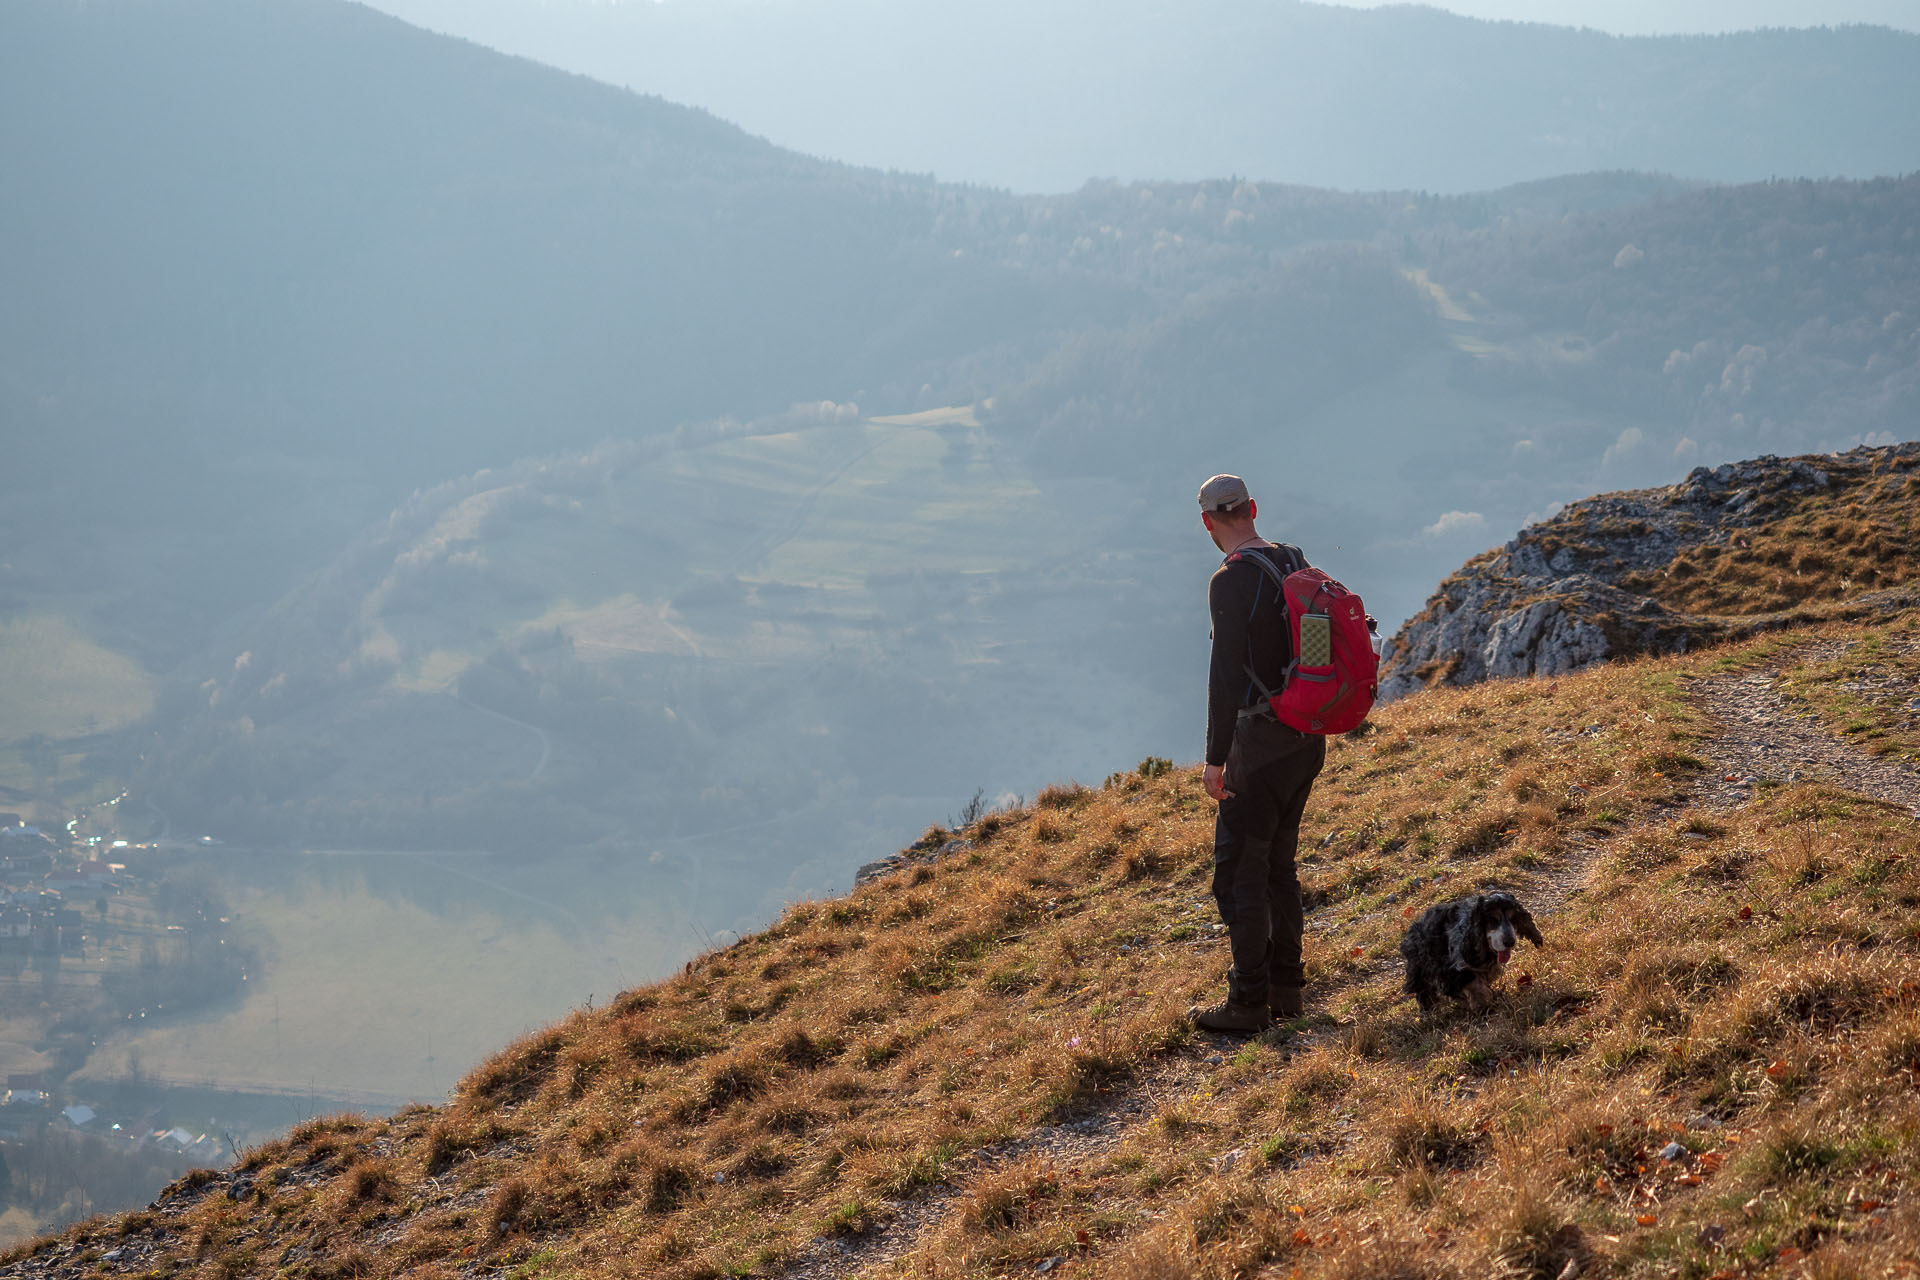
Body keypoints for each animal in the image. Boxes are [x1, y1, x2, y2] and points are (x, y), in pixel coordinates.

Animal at [1397, 890, 1543, 1013]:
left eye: (1513, 919)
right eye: (1492, 920)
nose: (1510, 942)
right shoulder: (1455, 969)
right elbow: (1475, 985)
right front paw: (1484, 1006)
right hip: (1421, 965)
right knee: (1423, 990)